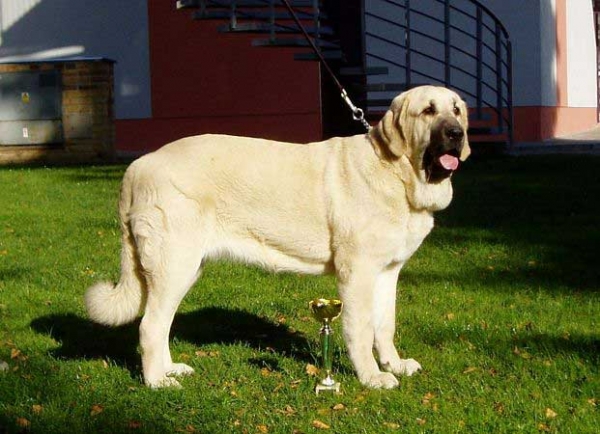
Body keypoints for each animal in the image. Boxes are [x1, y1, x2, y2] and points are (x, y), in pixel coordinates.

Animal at [84, 85, 472, 390]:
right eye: (428, 111)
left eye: (456, 109)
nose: (456, 133)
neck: (396, 172)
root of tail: (137, 166)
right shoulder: (358, 273)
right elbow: (361, 329)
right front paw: (372, 377)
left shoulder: (387, 272)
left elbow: (385, 325)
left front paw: (394, 364)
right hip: (174, 265)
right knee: (150, 326)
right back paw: (157, 382)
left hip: (185, 268)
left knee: (161, 323)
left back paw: (170, 370)